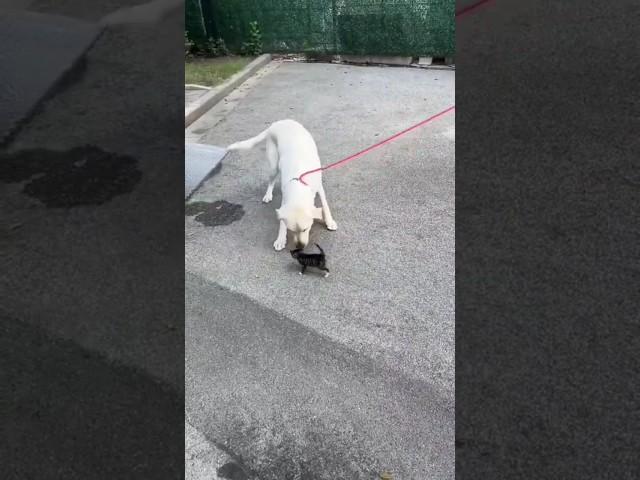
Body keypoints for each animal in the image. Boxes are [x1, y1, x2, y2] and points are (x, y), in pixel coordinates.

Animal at [226, 119, 338, 251]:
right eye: (292, 230)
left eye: (305, 229)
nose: (299, 247)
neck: (299, 186)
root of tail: (276, 124)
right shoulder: (286, 198)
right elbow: (282, 221)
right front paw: (280, 238)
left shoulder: (319, 187)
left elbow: (325, 206)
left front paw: (330, 221)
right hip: (273, 165)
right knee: (271, 180)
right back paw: (268, 195)